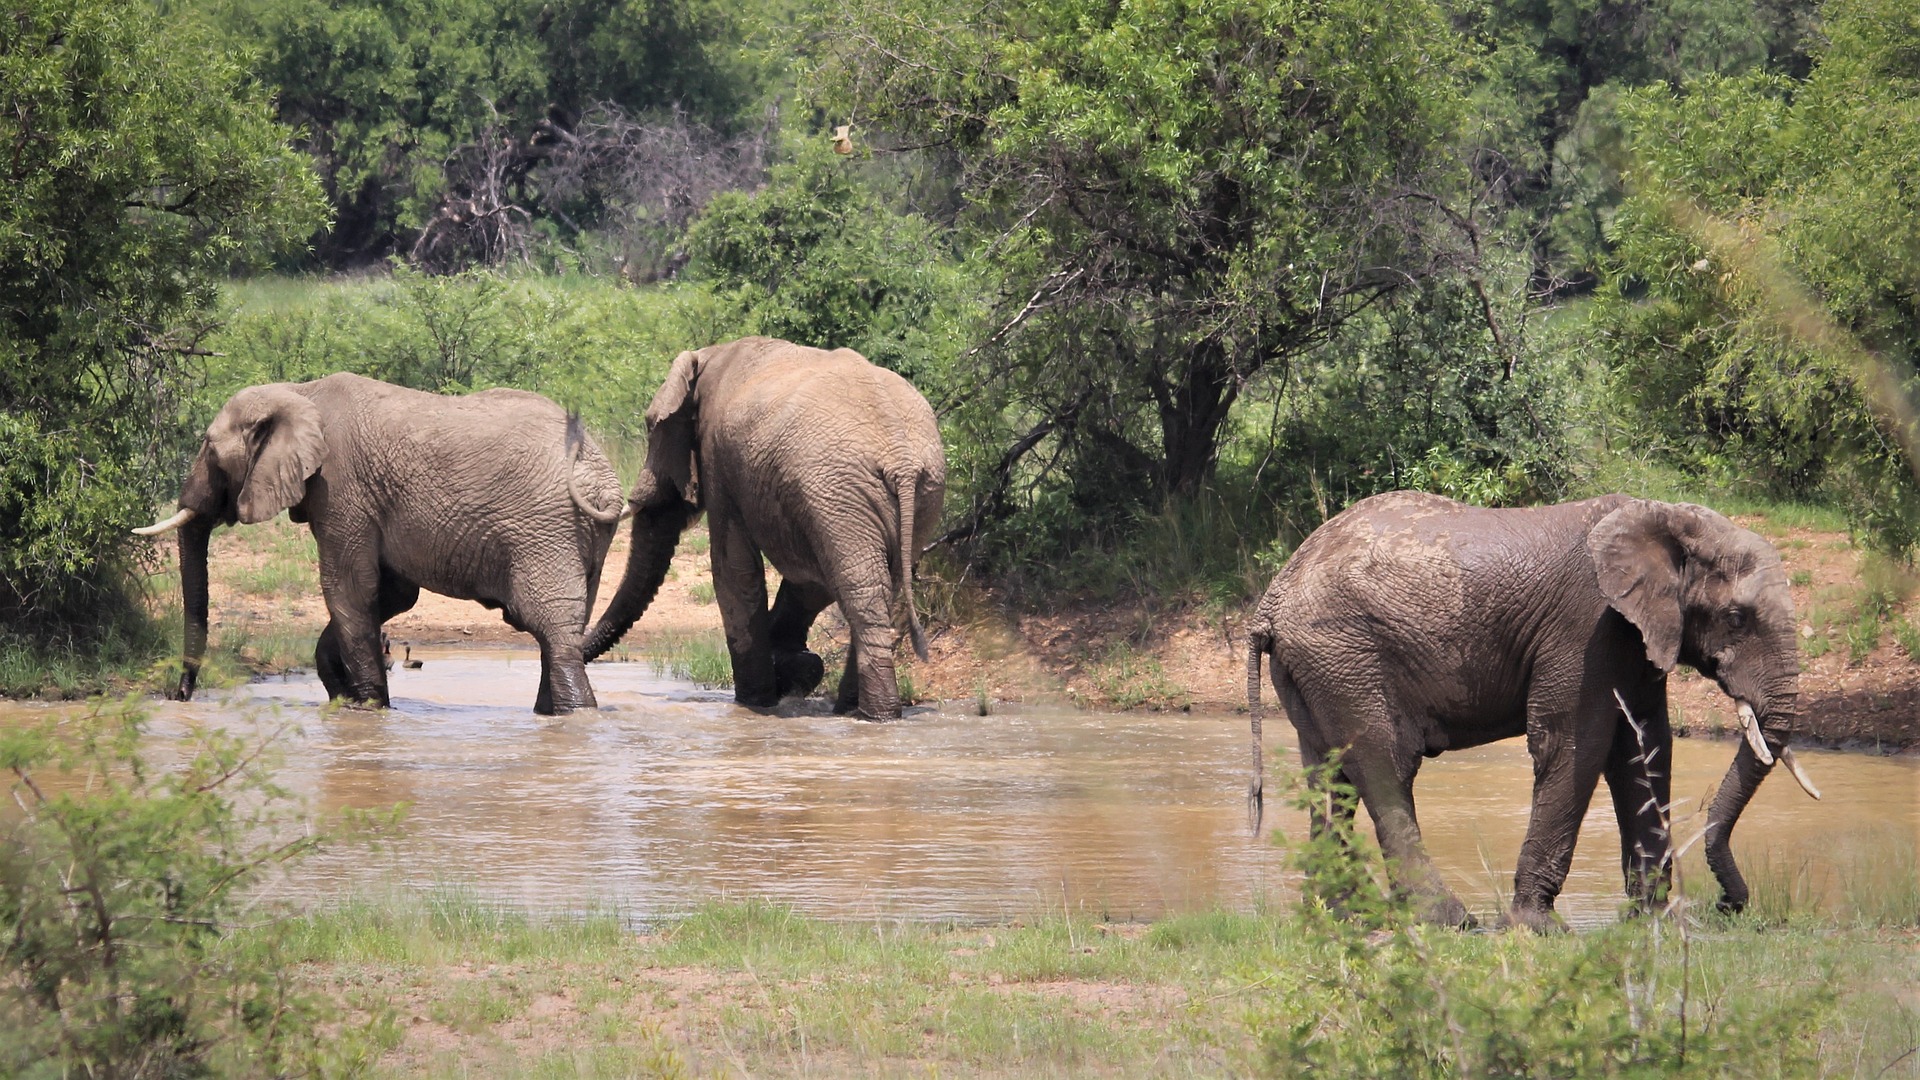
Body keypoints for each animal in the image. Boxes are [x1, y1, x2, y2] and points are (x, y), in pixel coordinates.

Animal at [134, 372, 628, 714]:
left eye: (209, 450)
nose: (179, 696)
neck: (298, 392)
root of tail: (597, 469)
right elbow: (391, 595)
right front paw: (350, 698)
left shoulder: (341, 487)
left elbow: (349, 589)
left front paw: (369, 708)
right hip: (584, 537)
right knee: (564, 630)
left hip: (545, 529)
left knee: (552, 629)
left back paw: (575, 716)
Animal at [582, 337, 945, 721]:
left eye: (653, 427)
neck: (709, 356)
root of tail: (900, 458)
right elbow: (809, 580)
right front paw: (792, 669)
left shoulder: (718, 459)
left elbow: (734, 570)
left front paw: (755, 701)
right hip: (906, 495)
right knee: (877, 586)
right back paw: (854, 711)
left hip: (842, 492)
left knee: (861, 593)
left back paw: (874, 715)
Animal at [1244, 491, 1821, 929]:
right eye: (1737, 617)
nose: (1728, 907)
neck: (1664, 518)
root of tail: (1270, 599)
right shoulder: (1586, 629)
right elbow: (1576, 743)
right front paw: (1538, 927)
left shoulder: (1636, 639)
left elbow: (1645, 747)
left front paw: (1654, 920)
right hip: (1344, 655)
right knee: (1386, 766)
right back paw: (1449, 921)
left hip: (1317, 667)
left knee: (1329, 776)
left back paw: (1339, 917)